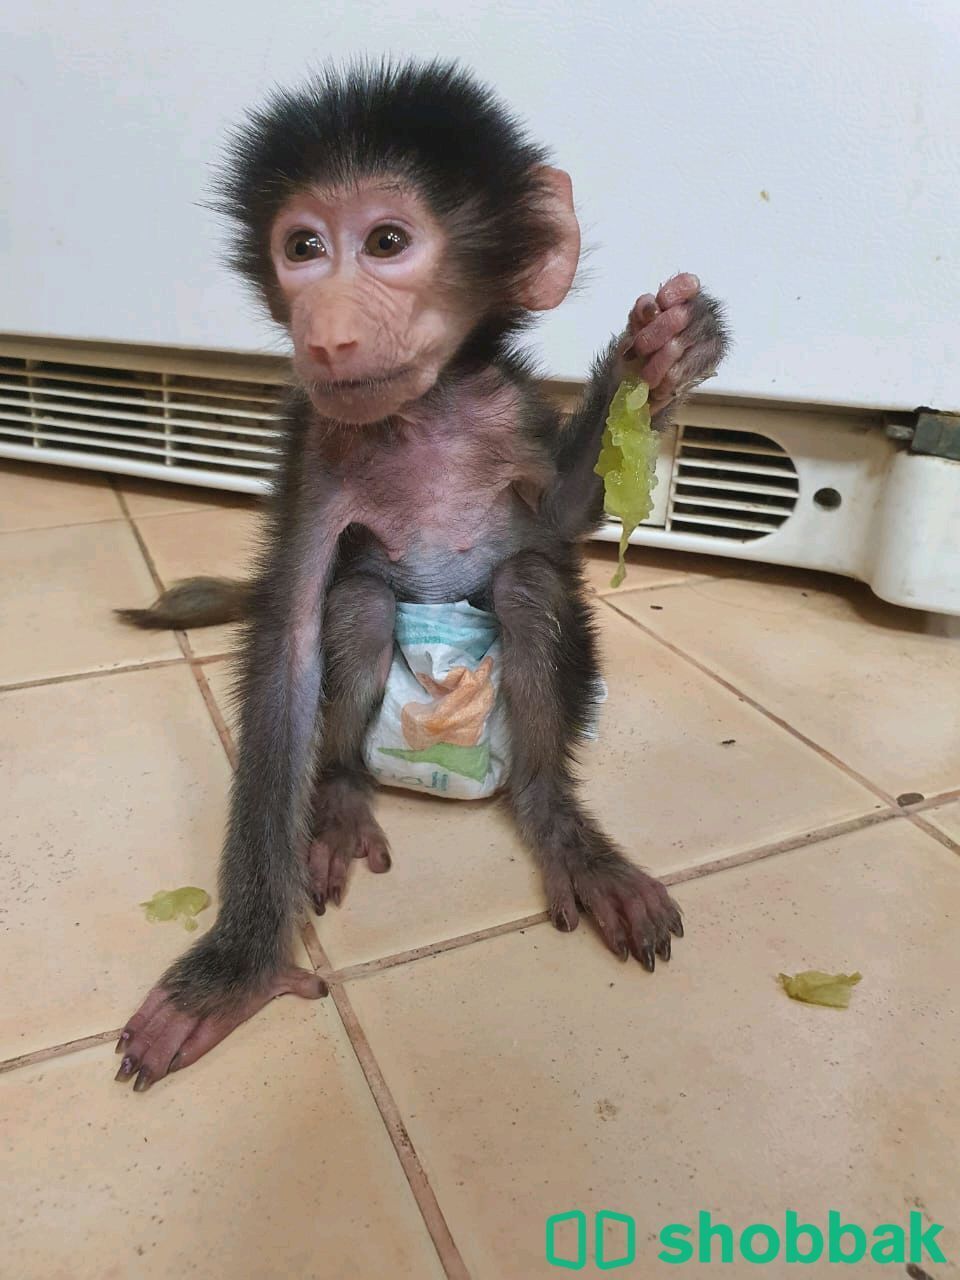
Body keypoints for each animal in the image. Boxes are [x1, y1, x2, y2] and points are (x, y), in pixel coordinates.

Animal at [113, 60, 729, 1091]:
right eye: (304, 247)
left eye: (388, 243)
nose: (324, 331)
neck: (423, 413)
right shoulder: (316, 442)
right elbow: (287, 642)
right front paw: (237, 966)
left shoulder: (509, 410)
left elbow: (559, 520)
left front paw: (662, 356)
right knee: (358, 604)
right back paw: (336, 800)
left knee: (528, 589)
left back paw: (559, 824)